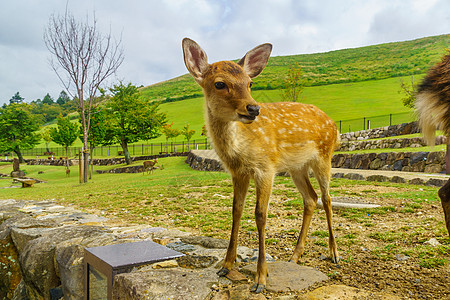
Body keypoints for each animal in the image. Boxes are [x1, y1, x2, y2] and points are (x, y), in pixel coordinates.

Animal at [181, 38, 340, 292]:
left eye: (250, 83)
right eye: (219, 84)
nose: (253, 109)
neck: (239, 150)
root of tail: (335, 126)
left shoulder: (266, 167)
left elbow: (260, 214)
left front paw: (261, 279)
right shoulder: (238, 173)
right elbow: (236, 210)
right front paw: (226, 266)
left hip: (324, 156)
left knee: (326, 198)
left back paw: (334, 253)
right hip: (297, 167)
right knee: (310, 198)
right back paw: (295, 256)